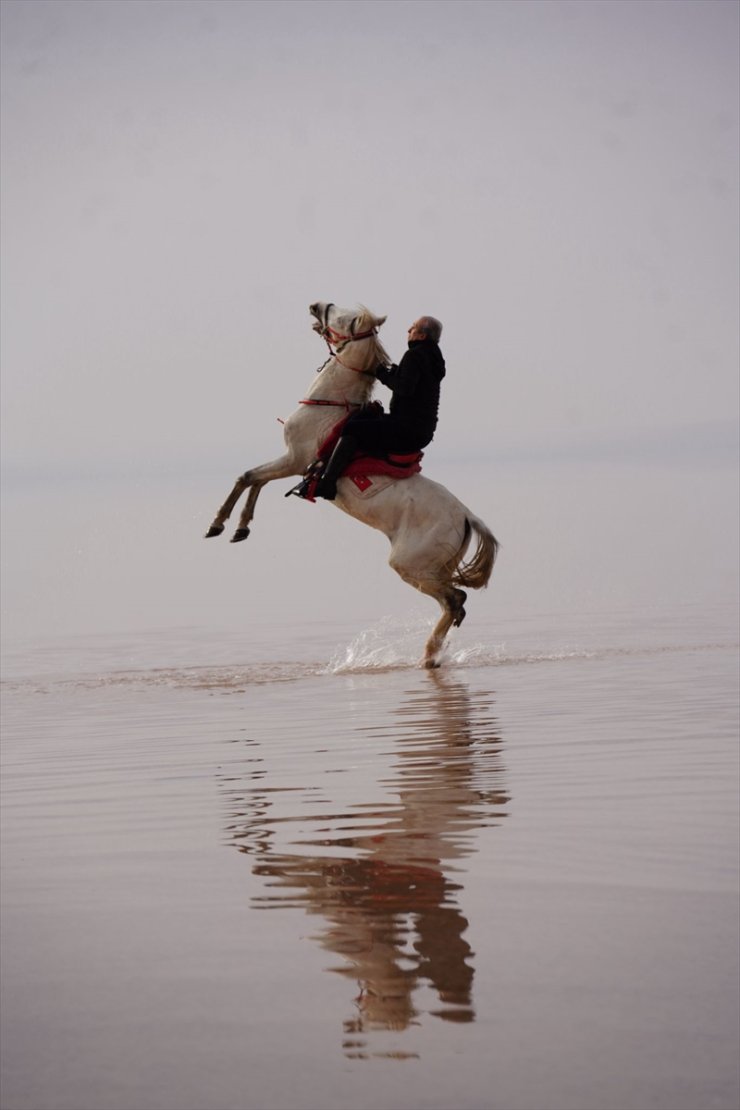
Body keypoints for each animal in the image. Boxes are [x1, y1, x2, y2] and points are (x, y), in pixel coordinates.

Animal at [205, 301, 501, 666]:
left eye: (342, 316)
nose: (315, 304)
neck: (328, 404)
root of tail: (466, 516)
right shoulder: (290, 461)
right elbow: (254, 481)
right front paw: (240, 528)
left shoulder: (293, 460)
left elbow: (247, 476)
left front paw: (218, 524)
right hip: (432, 567)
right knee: (455, 603)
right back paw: (432, 654)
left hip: (410, 565)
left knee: (454, 599)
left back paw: (428, 655)